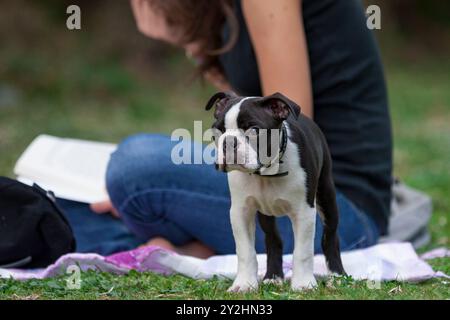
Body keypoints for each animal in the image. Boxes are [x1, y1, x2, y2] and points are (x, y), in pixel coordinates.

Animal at [206, 90, 346, 292]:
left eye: (254, 130)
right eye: (218, 131)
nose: (229, 141)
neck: (265, 173)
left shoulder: (304, 212)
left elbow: (302, 251)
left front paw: (303, 284)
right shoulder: (241, 211)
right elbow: (245, 251)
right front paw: (244, 284)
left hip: (326, 195)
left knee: (330, 236)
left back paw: (337, 276)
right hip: (266, 214)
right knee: (273, 240)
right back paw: (273, 277)